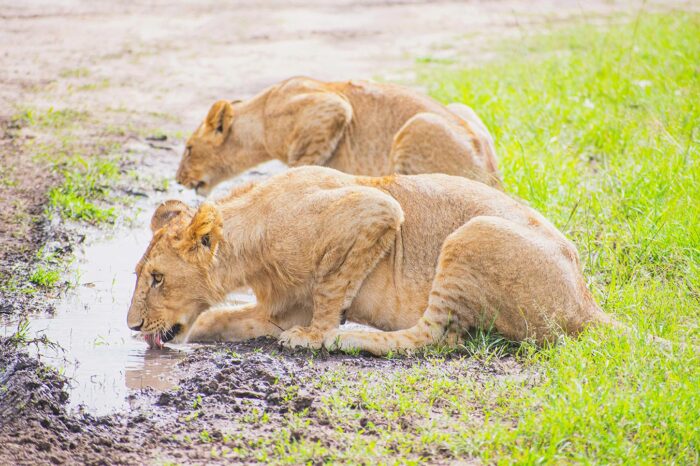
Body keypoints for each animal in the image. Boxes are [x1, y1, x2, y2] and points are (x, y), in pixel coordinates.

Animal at [127, 166, 618, 355]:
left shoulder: (375, 209)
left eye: (157, 278)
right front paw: (199, 332)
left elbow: (330, 289)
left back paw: (349, 338)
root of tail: (587, 304)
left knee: (435, 337)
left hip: (472, 234)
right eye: (141, 275)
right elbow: (219, 320)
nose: (132, 326)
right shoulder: (278, 310)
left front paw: (315, 336)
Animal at [175, 76, 501, 196]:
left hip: (417, 125)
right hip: (461, 109)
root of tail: (494, 176)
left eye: (189, 148)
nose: (178, 180)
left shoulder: (330, 106)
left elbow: (301, 165)